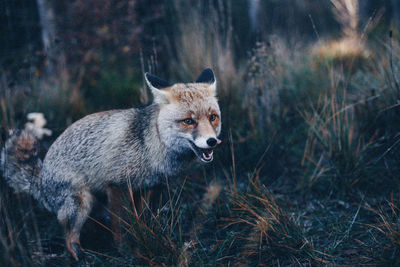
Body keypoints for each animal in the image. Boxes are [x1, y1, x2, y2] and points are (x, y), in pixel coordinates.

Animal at [0, 68, 222, 260]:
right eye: (188, 121)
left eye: (213, 117)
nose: (212, 141)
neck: (152, 144)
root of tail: (41, 179)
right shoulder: (117, 185)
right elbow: (121, 226)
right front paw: (126, 251)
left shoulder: (146, 187)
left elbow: (139, 220)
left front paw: (142, 237)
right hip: (81, 203)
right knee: (68, 237)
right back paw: (79, 256)